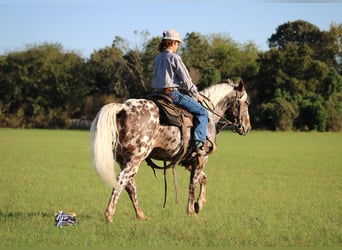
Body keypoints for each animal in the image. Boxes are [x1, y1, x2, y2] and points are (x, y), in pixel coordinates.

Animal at [91, 79, 251, 222]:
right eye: (247, 103)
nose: (247, 127)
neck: (209, 115)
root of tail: (123, 108)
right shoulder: (201, 159)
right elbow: (193, 184)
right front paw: (192, 211)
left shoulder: (190, 161)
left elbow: (203, 179)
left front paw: (198, 204)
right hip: (135, 158)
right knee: (121, 180)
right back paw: (109, 215)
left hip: (124, 159)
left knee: (129, 185)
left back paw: (141, 215)